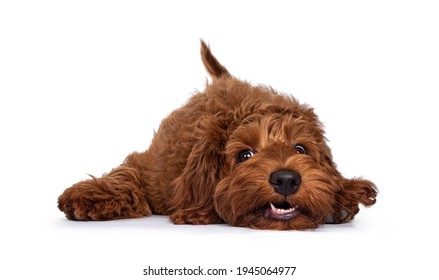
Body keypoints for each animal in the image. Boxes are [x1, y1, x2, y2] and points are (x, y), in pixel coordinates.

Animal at [56, 41, 376, 230]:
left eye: (300, 149)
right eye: (245, 154)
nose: (286, 179)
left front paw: (343, 196)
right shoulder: (152, 171)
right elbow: (124, 176)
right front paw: (87, 199)